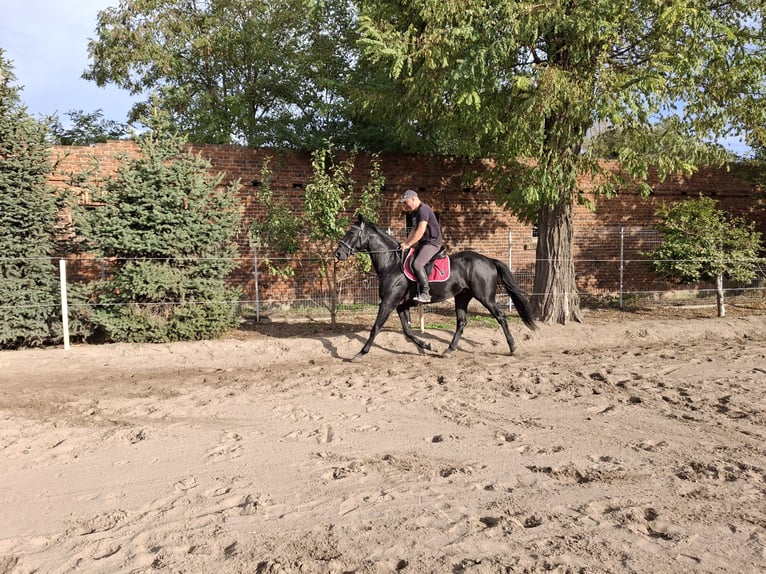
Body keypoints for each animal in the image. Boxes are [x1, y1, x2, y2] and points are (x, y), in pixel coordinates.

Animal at [336, 216, 540, 360]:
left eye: (351, 233)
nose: (338, 253)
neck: (391, 263)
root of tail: (489, 260)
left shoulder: (388, 302)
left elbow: (376, 327)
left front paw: (360, 353)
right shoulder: (400, 305)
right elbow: (407, 331)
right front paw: (427, 346)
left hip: (485, 297)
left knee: (500, 317)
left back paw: (513, 347)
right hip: (462, 297)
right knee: (461, 322)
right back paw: (449, 350)